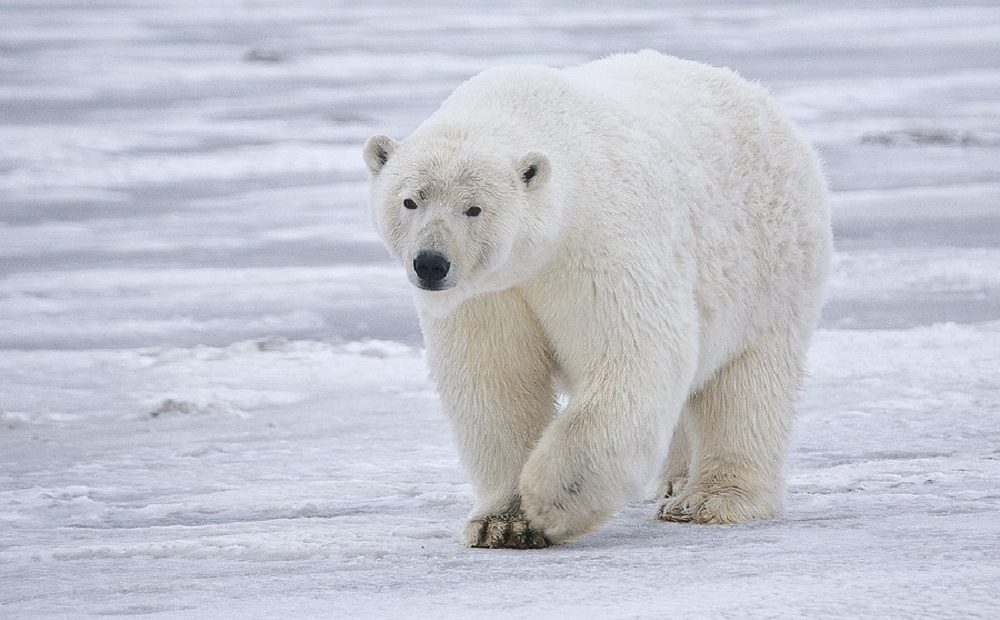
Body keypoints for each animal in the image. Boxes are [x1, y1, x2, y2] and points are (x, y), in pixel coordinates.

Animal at [364, 52, 832, 548]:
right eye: (410, 201)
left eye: (474, 208)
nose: (431, 264)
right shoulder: (488, 293)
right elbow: (496, 382)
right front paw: (502, 523)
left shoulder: (597, 245)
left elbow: (632, 355)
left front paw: (550, 501)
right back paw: (672, 481)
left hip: (770, 265)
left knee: (747, 385)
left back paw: (707, 499)